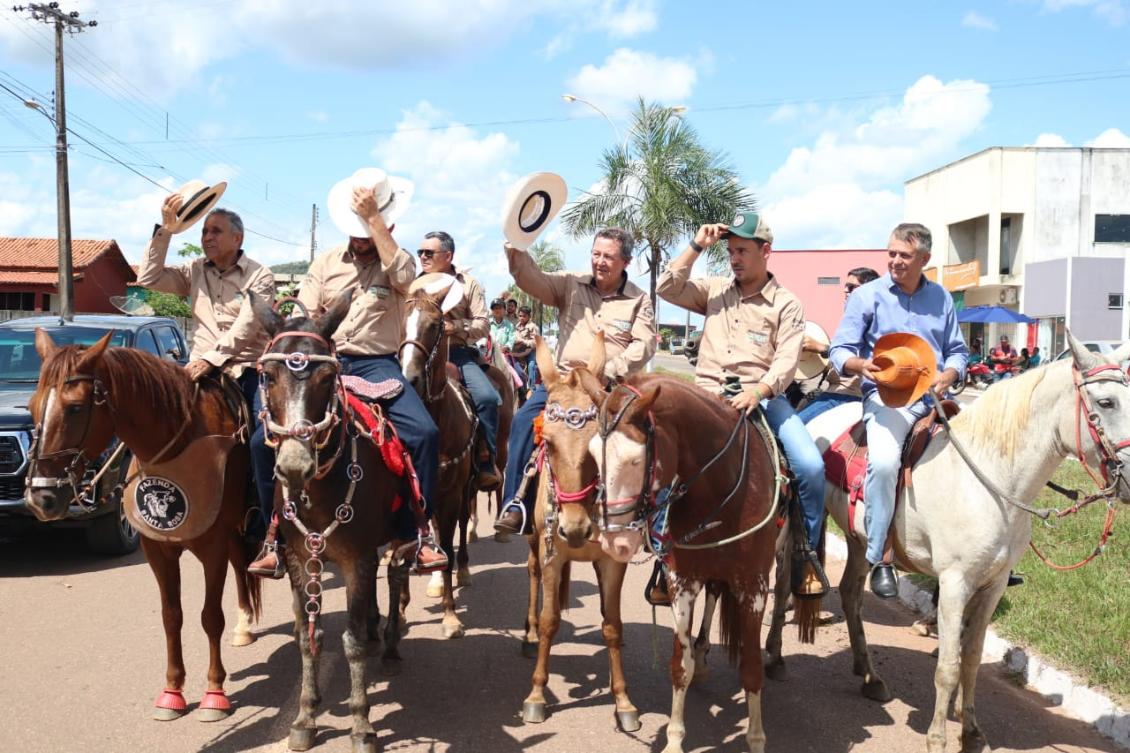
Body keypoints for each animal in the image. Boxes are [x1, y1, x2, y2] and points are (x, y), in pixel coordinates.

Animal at [25, 327, 261, 723]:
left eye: (75, 408)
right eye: (31, 405)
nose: (40, 498)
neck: (180, 447)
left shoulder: (211, 546)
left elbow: (210, 616)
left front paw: (214, 693)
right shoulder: (157, 550)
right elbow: (171, 617)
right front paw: (172, 691)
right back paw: (244, 625)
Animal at [249, 291, 409, 750]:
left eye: (325, 377)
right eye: (267, 375)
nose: (293, 465)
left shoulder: (357, 559)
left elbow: (350, 641)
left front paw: (361, 723)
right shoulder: (301, 561)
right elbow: (308, 637)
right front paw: (305, 717)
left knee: (396, 579)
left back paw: (389, 646)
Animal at [768, 334, 1130, 750]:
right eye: (1106, 402)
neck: (991, 479)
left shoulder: (993, 584)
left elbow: (970, 658)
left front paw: (971, 731)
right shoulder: (955, 583)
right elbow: (948, 666)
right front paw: (938, 737)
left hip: (859, 539)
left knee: (850, 593)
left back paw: (869, 675)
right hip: (800, 523)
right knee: (785, 584)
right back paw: (775, 657)